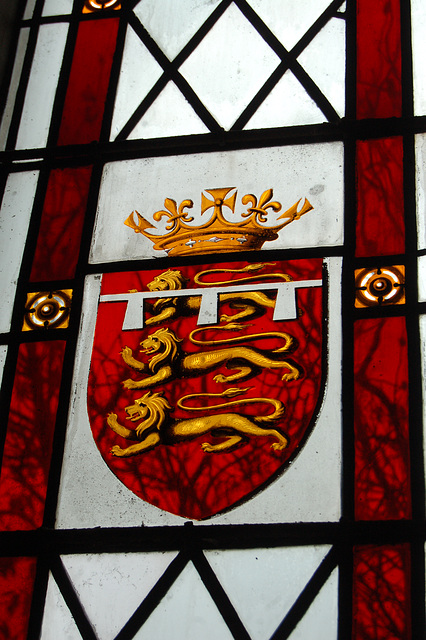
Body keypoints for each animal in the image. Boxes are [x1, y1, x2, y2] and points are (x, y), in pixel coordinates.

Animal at [106, 390, 288, 456]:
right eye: (135, 402)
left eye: (141, 405)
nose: (126, 409)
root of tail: (244, 414)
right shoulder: (140, 433)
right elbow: (127, 432)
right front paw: (112, 419)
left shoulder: (153, 439)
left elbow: (136, 447)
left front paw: (120, 451)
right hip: (220, 431)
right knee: (239, 438)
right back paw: (213, 448)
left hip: (243, 425)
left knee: (270, 431)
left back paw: (281, 444)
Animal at [120, 324, 300, 390]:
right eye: (148, 337)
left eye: (154, 339)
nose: (142, 343)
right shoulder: (153, 367)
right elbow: (142, 367)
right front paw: (127, 355)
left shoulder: (166, 373)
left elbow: (150, 380)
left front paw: (132, 383)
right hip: (233, 363)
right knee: (248, 371)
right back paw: (224, 379)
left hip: (256, 358)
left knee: (282, 361)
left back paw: (293, 374)